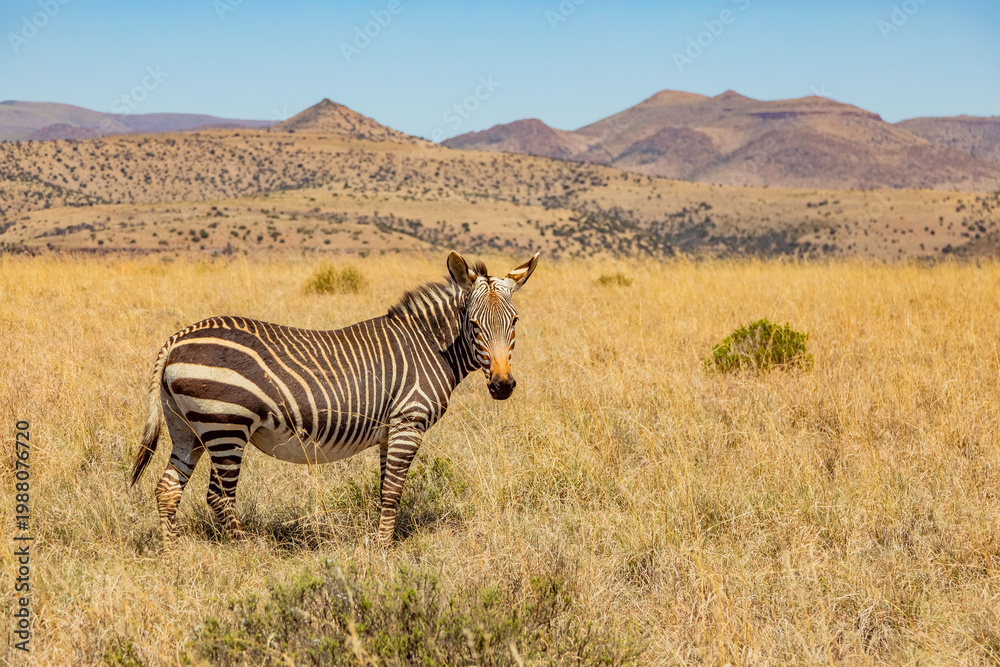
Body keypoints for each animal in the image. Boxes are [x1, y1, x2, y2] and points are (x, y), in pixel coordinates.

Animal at [129, 251, 539, 547]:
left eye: (515, 321)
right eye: (473, 325)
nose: (503, 386)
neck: (431, 347)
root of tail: (176, 339)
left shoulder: (390, 429)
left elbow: (384, 489)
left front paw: (379, 540)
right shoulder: (409, 422)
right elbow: (394, 490)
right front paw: (384, 550)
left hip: (187, 429)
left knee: (167, 488)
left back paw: (173, 553)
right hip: (225, 427)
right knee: (219, 496)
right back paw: (244, 549)